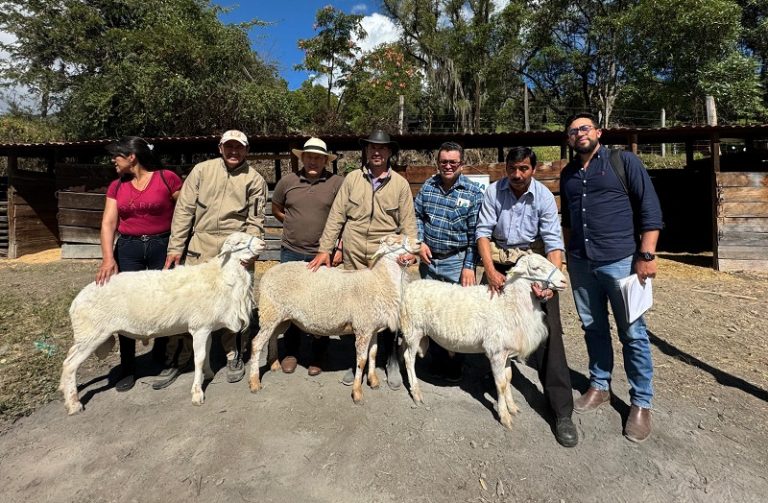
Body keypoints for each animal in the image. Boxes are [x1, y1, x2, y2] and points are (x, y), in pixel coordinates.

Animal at [58, 232, 266, 414]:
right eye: (239, 243)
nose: (263, 244)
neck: (222, 277)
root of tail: (75, 302)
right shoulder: (199, 327)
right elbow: (198, 358)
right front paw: (197, 393)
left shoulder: (205, 327)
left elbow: (205, 354)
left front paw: (208, 374)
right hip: (92, 333)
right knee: (69, 365)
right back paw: (74, 404)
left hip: (87, 334)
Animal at [249, 234, 420, 404]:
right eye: (393, 242)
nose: (419, 243)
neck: (378, 281)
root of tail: (268, 273)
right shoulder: (363, 328)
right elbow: (362, 360)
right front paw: (357, 392)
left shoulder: (372, 327)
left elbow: (373, 354)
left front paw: (373, 381)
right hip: (270, 311)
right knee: (256, 343)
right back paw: (254, 382)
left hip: (281, 317)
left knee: (272, 336)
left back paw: (274, 364)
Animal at [400, 256, 568, 430]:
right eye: (536, 268)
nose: (564, 281)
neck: (509, 303)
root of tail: (410, 287)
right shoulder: (496, 352)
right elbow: (501, 384)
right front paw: (504, 416)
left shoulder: (506, 352)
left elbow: (509, 378)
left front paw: (512, 407)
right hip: (414, 329)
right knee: (409, 359)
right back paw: (416, 393)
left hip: (411, 332)